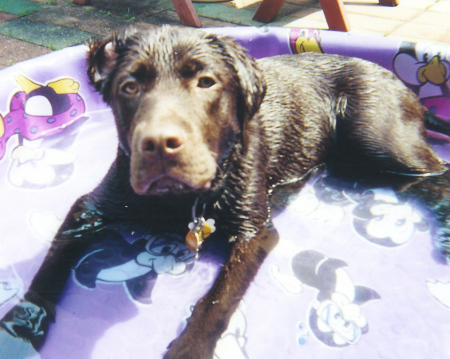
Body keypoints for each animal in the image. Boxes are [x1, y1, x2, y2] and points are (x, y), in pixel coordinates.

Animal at [0, 26, 450, 359]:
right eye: (129, 87)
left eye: (206, 82)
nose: (159, 145)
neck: (181, 201)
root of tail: (397, 81)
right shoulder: (91, 207)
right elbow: (51, 265)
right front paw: (19, 328)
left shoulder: (254, 231)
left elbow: (218, 300)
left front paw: (190, 348)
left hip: (377, 137)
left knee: (435, 174)